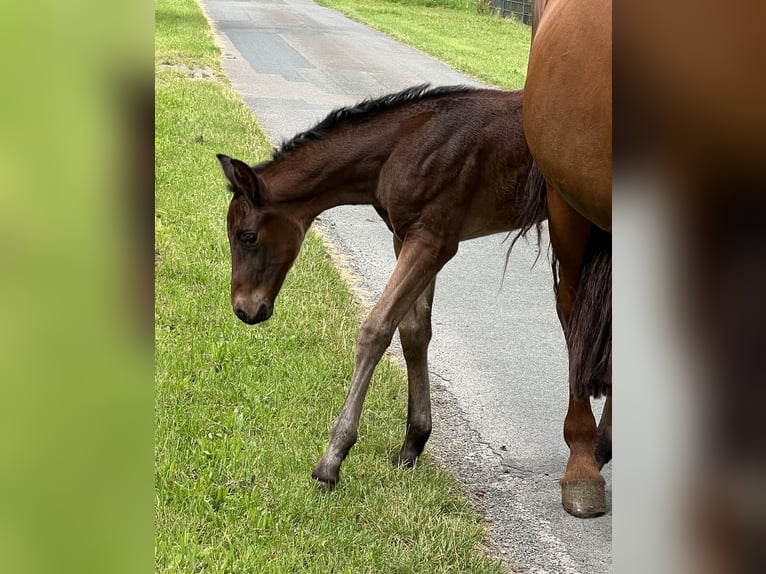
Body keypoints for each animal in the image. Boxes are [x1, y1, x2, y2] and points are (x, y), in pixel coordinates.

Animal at [216, 88, 544, 492]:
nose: (244, 309)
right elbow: (414, 331)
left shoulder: (433, 240)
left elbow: (375, 329)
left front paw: (331, 461)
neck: (404, 147)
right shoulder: (406, 236)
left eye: (247, 236)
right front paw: (413, 444)